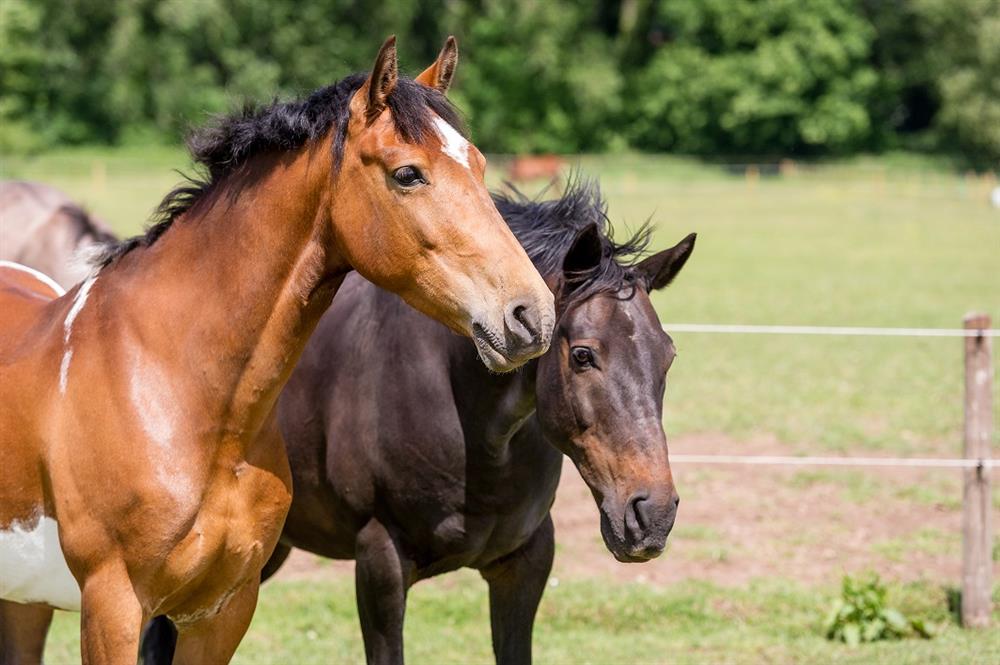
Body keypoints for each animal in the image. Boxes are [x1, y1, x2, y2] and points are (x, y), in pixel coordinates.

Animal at [0, 35, 555, 665]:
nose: (531, 314)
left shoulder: (221, 611)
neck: (178, 392)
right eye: (408, 174)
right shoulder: (112, 609)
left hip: (24, 601)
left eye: (480, 165)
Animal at [143, 178, 695, 665]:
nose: (652, 514)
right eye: (583, 355)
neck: (476, 432)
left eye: (669, 356)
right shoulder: (380, 560)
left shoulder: (526, 561)